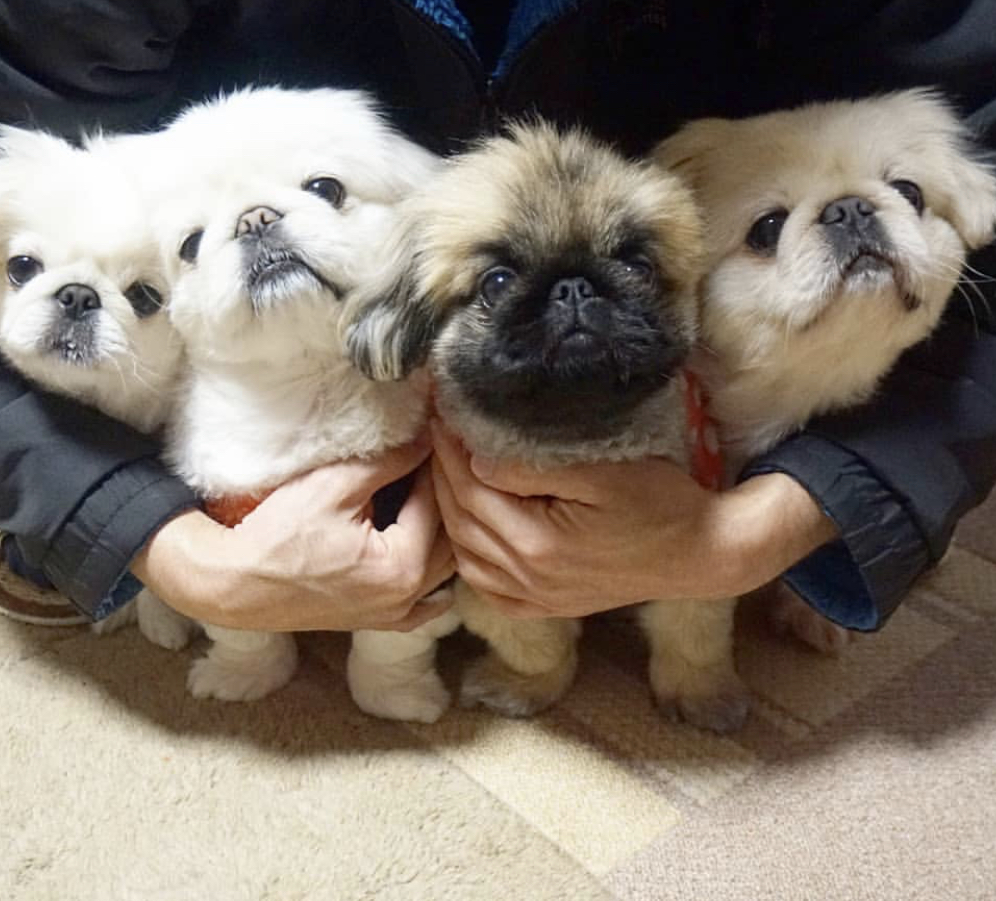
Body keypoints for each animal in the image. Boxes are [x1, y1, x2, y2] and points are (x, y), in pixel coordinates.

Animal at [147, 88, 452, 708]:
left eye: (325, 188)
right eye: (191, 244)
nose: (255, 219)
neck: (303, 393)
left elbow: (392, 641)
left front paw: (396, 697)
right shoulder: (228, 530)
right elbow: (241, 627)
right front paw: (244, 678)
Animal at [350, 121, 748, 732]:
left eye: (636, 266)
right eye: (496, 281)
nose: (574, 286)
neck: (578, 444)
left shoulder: (693, 568)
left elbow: (691, 634)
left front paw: (700, 695)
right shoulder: (496, 582)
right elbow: (538, 645)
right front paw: (527, 686)